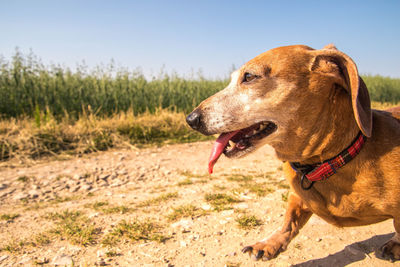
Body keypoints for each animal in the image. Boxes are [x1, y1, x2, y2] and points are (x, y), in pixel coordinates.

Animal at [187, 45, 400, 262]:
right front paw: (270, 243)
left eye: (249, 76)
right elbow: (290, 220)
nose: (191, 119)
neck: (325, 162)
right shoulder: (296, 195)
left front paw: (395, 245)